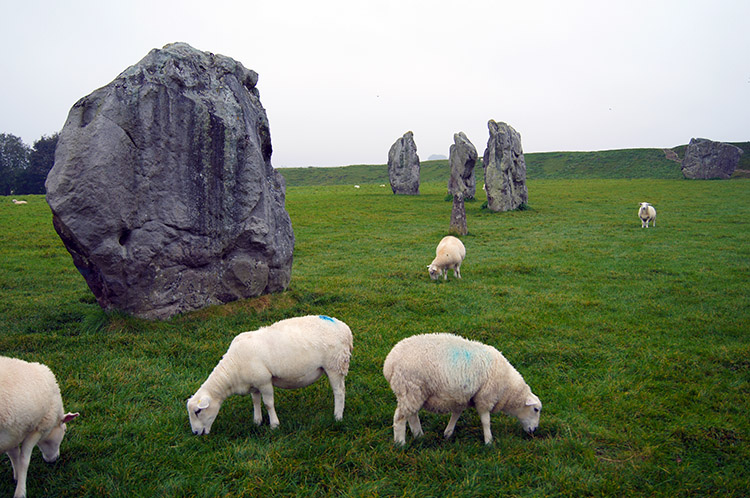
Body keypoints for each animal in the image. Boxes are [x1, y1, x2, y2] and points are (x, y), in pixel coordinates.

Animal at [1, 356, 79, 496]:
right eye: (64, 430)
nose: (55, 459)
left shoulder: (12, 433)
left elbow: (13, 454)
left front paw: (17, 477)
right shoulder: (37, 429)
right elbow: (24, 460)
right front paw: (20, 491)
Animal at [187, 316, 354, 436]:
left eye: (198, 411)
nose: (195, 433)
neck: (233, 369)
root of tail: (345, 328)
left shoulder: (264, 381)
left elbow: (268, 403)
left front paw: (274, 425)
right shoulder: (254, 383)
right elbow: (255, 401)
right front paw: (257, 421)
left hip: (335, 364)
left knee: (339, 392)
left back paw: (338, 417)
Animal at [384, 332, 544, 446]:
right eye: (536, 409)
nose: (534, 431)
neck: (508, 388)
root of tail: (389, 363)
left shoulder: (463, 397)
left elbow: (456, 414)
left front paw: (448, 433)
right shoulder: (485, 397)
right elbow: (486, 421)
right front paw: (489, 441)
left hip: (413, 393)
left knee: (412, 415)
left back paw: (419, 436)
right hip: (410, 389)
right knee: (399, 418)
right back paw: (400, 443)